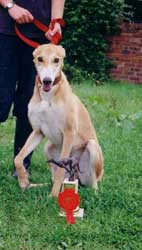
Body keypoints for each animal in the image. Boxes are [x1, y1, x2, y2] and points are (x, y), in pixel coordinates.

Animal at [14, 43, 103, 197]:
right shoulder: (38, 131)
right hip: (48, 147)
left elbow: (61, 170)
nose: (47, 81)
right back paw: (34, 186)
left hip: (91, 149)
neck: (48, 96)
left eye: (56, 60)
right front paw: (23, 180)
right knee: (54, 176)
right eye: (40, 58)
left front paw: (53, 196)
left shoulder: (69, 132)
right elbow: (18, 158)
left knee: (92, 186)